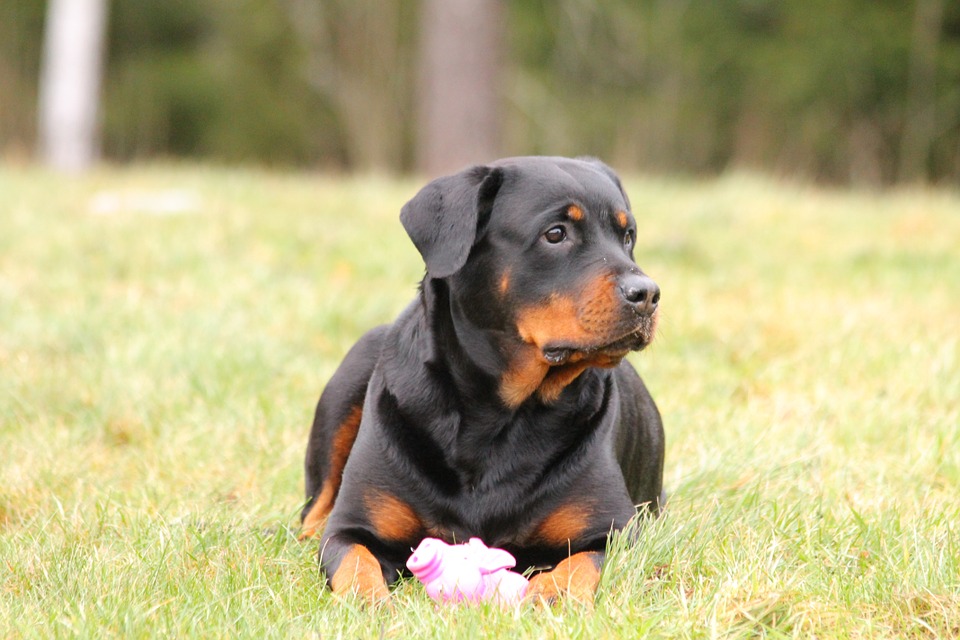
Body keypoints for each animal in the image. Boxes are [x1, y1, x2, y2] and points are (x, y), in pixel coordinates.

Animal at [304, 156, 664, 604]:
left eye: (627, 236)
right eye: (555, 234)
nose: (647, 294)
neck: (497, 412)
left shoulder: (613, 532)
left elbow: (580, 564)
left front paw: (549, 593)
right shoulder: (353, 528)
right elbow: (356, 562)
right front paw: (369, 602)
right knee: (314, 510)